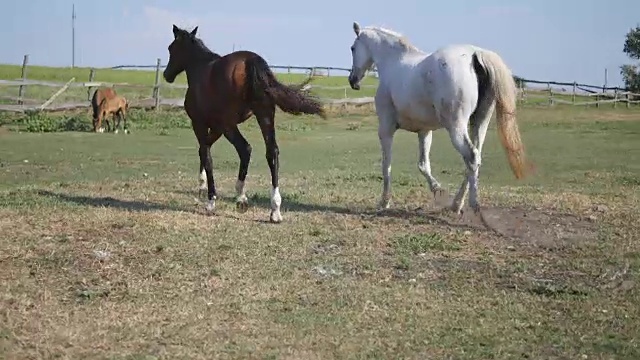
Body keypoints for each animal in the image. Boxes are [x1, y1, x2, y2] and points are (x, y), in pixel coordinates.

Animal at [165, 25, 324, 222]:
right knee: (272, 152)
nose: (166, 74)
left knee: (245, 149)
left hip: (230, 124)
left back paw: (240, 198)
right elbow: (205, 149)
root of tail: (251, 61)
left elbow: (206, 154)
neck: (200, 70)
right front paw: (202, 186)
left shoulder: (201, 124)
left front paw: (209, 199)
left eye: (171, 48)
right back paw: (275, 210)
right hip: (264, 115)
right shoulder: (216, 127)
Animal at [348, 21, 532, 217]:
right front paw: (438, 189)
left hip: (456, 127)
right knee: (475, 158)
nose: (353, 81)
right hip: (479, 122)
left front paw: (384, 201)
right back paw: (456, 204)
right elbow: (423, 165)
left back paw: (474, 207)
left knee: (471, 156)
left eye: (353, 48)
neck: (393, 63)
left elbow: (386, 165)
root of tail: (475, 54)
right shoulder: (424, 132)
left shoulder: (386, 129)